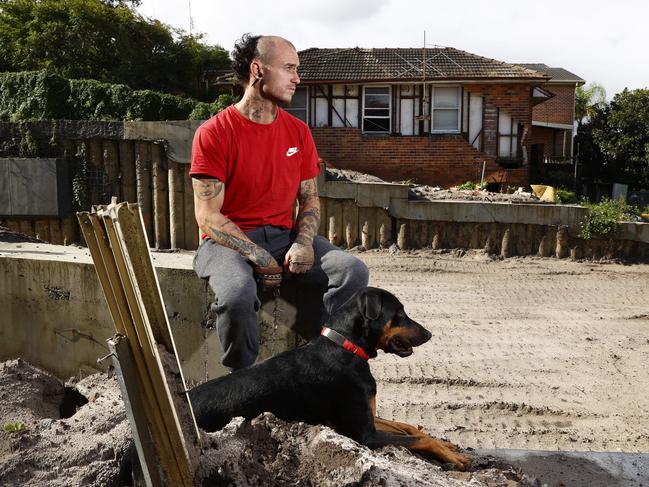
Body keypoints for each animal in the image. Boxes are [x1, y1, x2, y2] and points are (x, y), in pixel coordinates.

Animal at [190, 286, 468, 468]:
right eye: (398, 314)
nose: (430, 334)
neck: (347, 348)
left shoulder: (369, 418)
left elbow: (408, 427)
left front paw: (448, 446)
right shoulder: (365, 436)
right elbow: (417, 437)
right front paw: (453, 457)